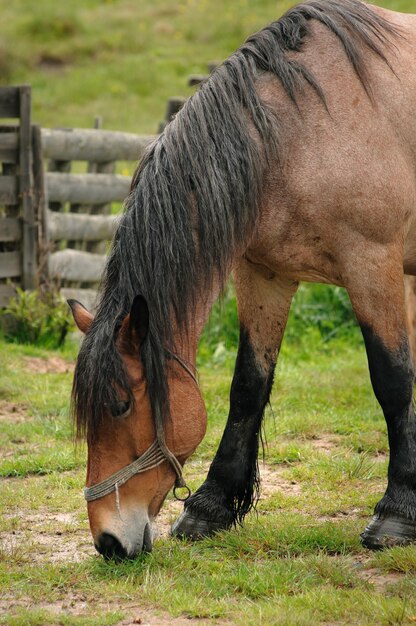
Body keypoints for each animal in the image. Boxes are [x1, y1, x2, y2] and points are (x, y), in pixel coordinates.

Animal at [70, 0, 416, 556]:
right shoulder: (264, 274)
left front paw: (398, 513)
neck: (300, 132)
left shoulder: (373, 265)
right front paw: (211, 505)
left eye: (122, 405)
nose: (108, 542)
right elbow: (248, 384)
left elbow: (393, 381)